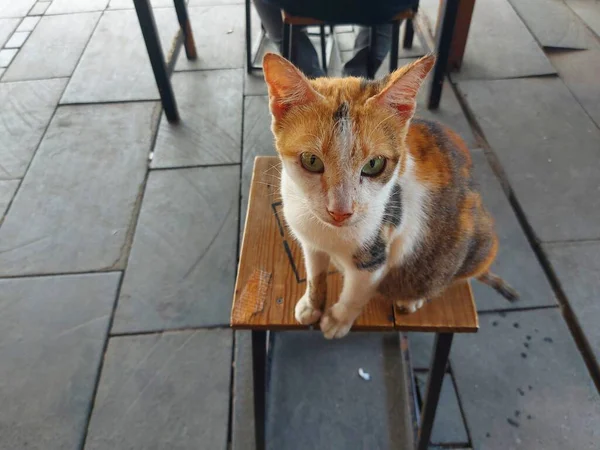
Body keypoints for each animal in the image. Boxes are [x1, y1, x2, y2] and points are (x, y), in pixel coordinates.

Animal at [262, 52, 516, 338]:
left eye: (374, 164)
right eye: (311, 160)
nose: (340, 211)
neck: (329, 233)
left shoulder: (376, 253)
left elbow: (355, 293)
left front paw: (338, 319)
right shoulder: (310, 241)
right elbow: (315, 272)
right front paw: (312, 304)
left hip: (472, 246)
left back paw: (412, 298)